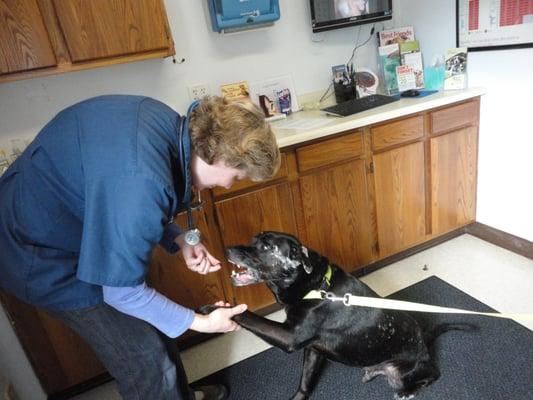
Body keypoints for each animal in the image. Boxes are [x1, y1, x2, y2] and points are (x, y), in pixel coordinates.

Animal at [218, 231, 472, 400]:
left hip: (409, 372)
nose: (226, 249)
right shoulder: (313, 350)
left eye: (266, 247)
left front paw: (216, 310)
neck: (316, 285)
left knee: (433, 374)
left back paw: (407, 392)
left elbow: (250, 316)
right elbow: (305, 382)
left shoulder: (289, 337)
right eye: (253, 241)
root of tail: (423, 343)